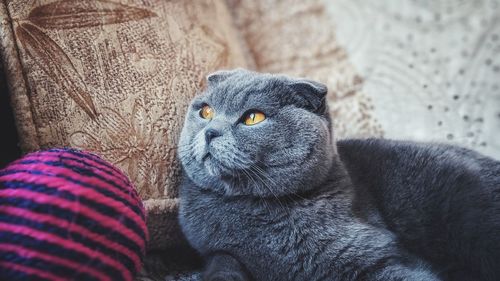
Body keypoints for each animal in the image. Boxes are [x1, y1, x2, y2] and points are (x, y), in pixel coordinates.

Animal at [177, 68, 500, 280]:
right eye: (205, 112)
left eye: (253, 118)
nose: (210, 131)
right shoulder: (214, 251)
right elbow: (222, 263)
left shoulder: (377, 257)